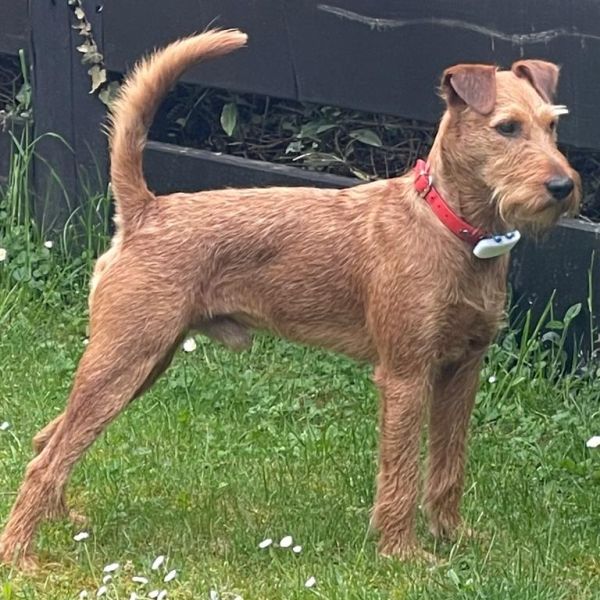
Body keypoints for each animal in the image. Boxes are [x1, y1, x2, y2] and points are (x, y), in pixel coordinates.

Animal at [1, 29, 580, 572]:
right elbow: (400, 473)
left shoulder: (462, 370)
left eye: (552, 126)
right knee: (46, 457)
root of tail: (145, 210)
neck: (451, 228)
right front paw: (402, 554)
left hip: (142, 361)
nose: (563, 185)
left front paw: (452, 535)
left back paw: (62, 520)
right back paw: (19, 555)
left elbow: (448, 466)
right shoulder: (405, 374)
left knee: (48, 439)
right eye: (506, 127)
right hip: (124, 359)